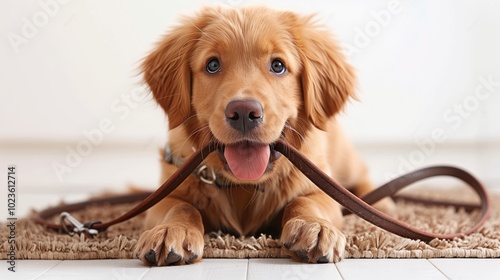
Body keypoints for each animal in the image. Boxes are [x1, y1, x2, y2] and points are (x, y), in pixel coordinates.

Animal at [135, 5, 392, 266]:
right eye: (212, 65)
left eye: (278, 65)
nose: (243, 112)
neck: (245, 185)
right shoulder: (166, 194)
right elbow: (181, 207)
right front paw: (171, 230)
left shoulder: (321, 190)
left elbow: (305, 201)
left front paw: (314, 226)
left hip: (345, 161)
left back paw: (383, 204)